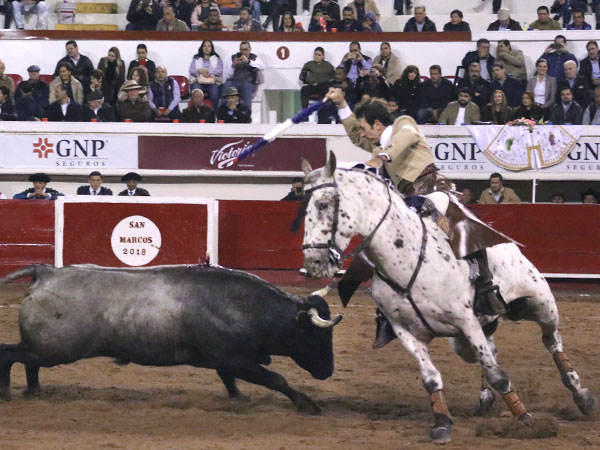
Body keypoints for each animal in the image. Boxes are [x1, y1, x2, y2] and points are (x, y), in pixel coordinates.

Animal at [0, 264, 342, 414]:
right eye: (316, 336)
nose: (328, 372)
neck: (247, 307)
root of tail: (47, 272)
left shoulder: (227, 360)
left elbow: (229, 380)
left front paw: (238, 398)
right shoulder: (236, 359)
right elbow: (276, 379)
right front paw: (308, 404)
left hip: (45, 350)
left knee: (27, 362)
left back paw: (34, 391)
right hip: (54, 349)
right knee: (10, 354)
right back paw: (7, 394)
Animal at [300, 152, 597, 444]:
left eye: (324, 205)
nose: (313, 261)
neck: (407, 258)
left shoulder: (467, 322)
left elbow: (499, 376)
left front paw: (526, 420)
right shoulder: (405, 330)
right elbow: (432, 377)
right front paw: (442, 423)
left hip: (540, 303)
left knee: (551, 340)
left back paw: (582, 396)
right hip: (466, 340)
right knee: (491, 351)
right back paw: (486, 399)